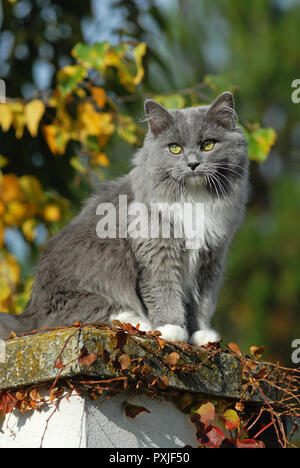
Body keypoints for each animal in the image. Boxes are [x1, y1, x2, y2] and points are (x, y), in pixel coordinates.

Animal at [0, 91, 248, 344]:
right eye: (175, 148)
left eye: (208, 145)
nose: (193, 164)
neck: (194, 198)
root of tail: (28, 315)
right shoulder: (157, 251)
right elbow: (165, 291)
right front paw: (172, 330)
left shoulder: (210, 259)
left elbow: (202, 304)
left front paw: (201, 335)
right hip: (89, 297)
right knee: (115, 315)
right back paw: (147, 327)